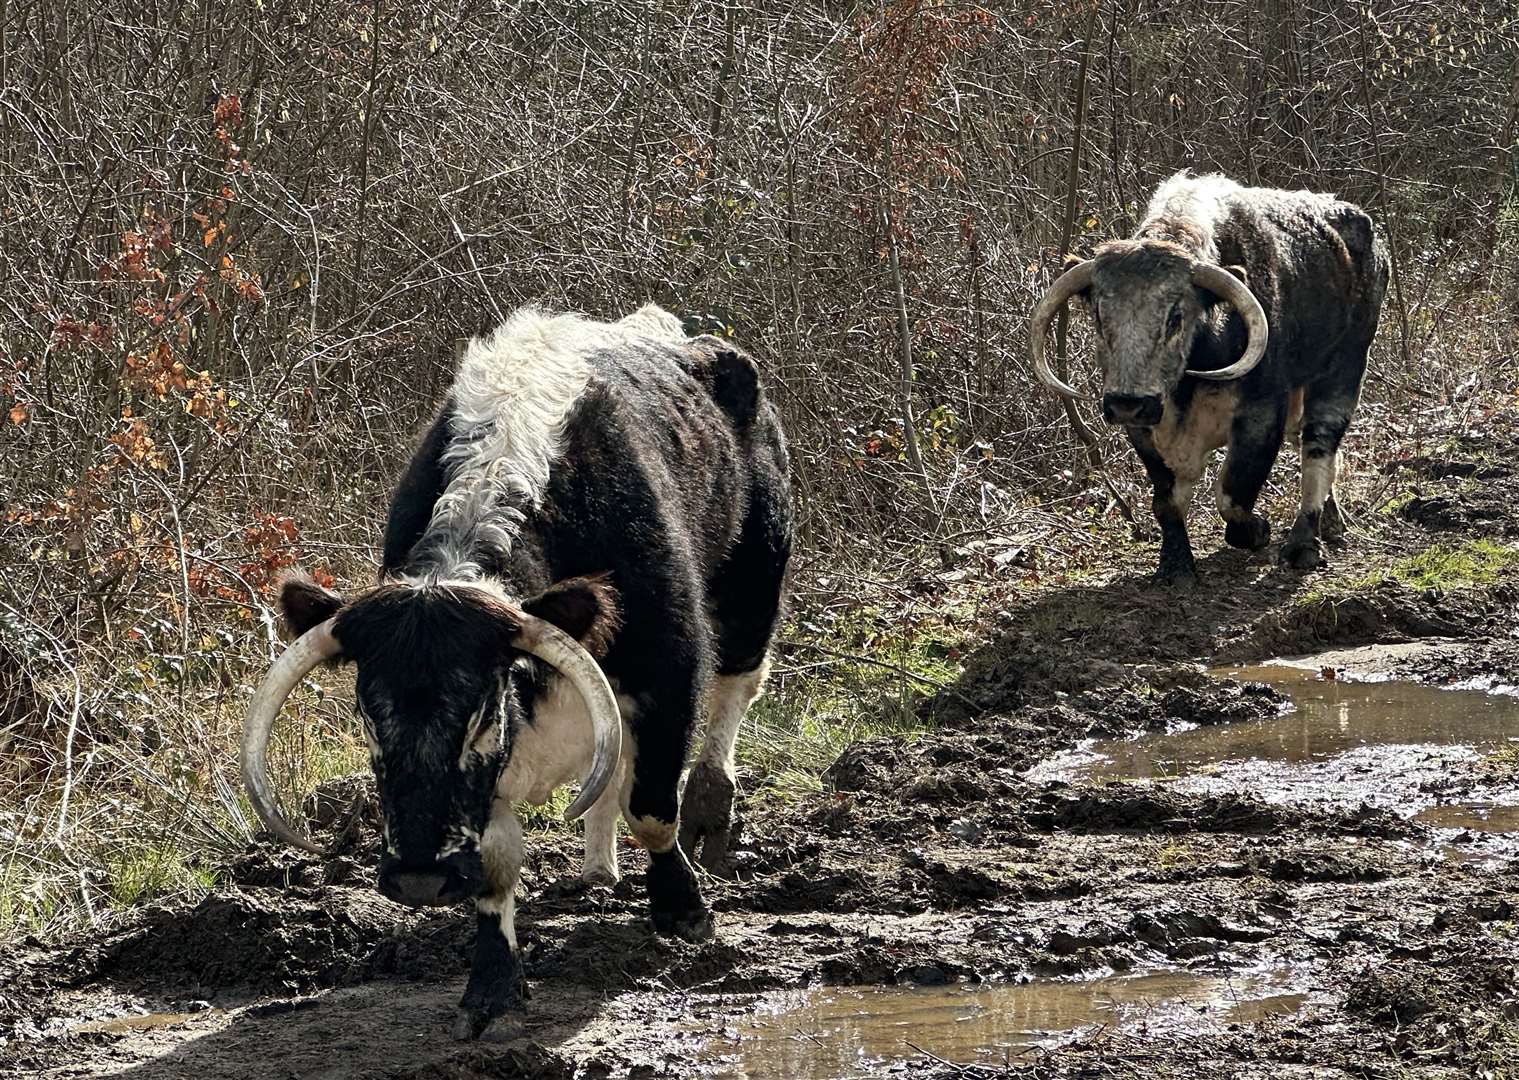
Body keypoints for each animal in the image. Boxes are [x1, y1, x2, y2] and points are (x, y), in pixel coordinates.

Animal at [236, 303, 795, 1038]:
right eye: (367, 714)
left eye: (480, 711)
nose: (418, 878)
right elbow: (499, 860)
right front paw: (493, 986)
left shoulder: (669, 669)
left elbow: (652, 807)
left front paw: (683, 911)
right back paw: (596, 867)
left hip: (755, 576)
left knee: (737, 689)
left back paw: (710, 803)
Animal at [1032, 170, 1391, 583]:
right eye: (1099, 316)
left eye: (1175, 316)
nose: (1127, 404)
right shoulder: (1144, 432)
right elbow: (1166, 501)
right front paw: (1175, 566)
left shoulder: (1260, 416)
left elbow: (1232, 494)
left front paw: (1258, 531)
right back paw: (1332, 522)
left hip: (1344, 369)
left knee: (1318, 446)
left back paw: (1304, 543)